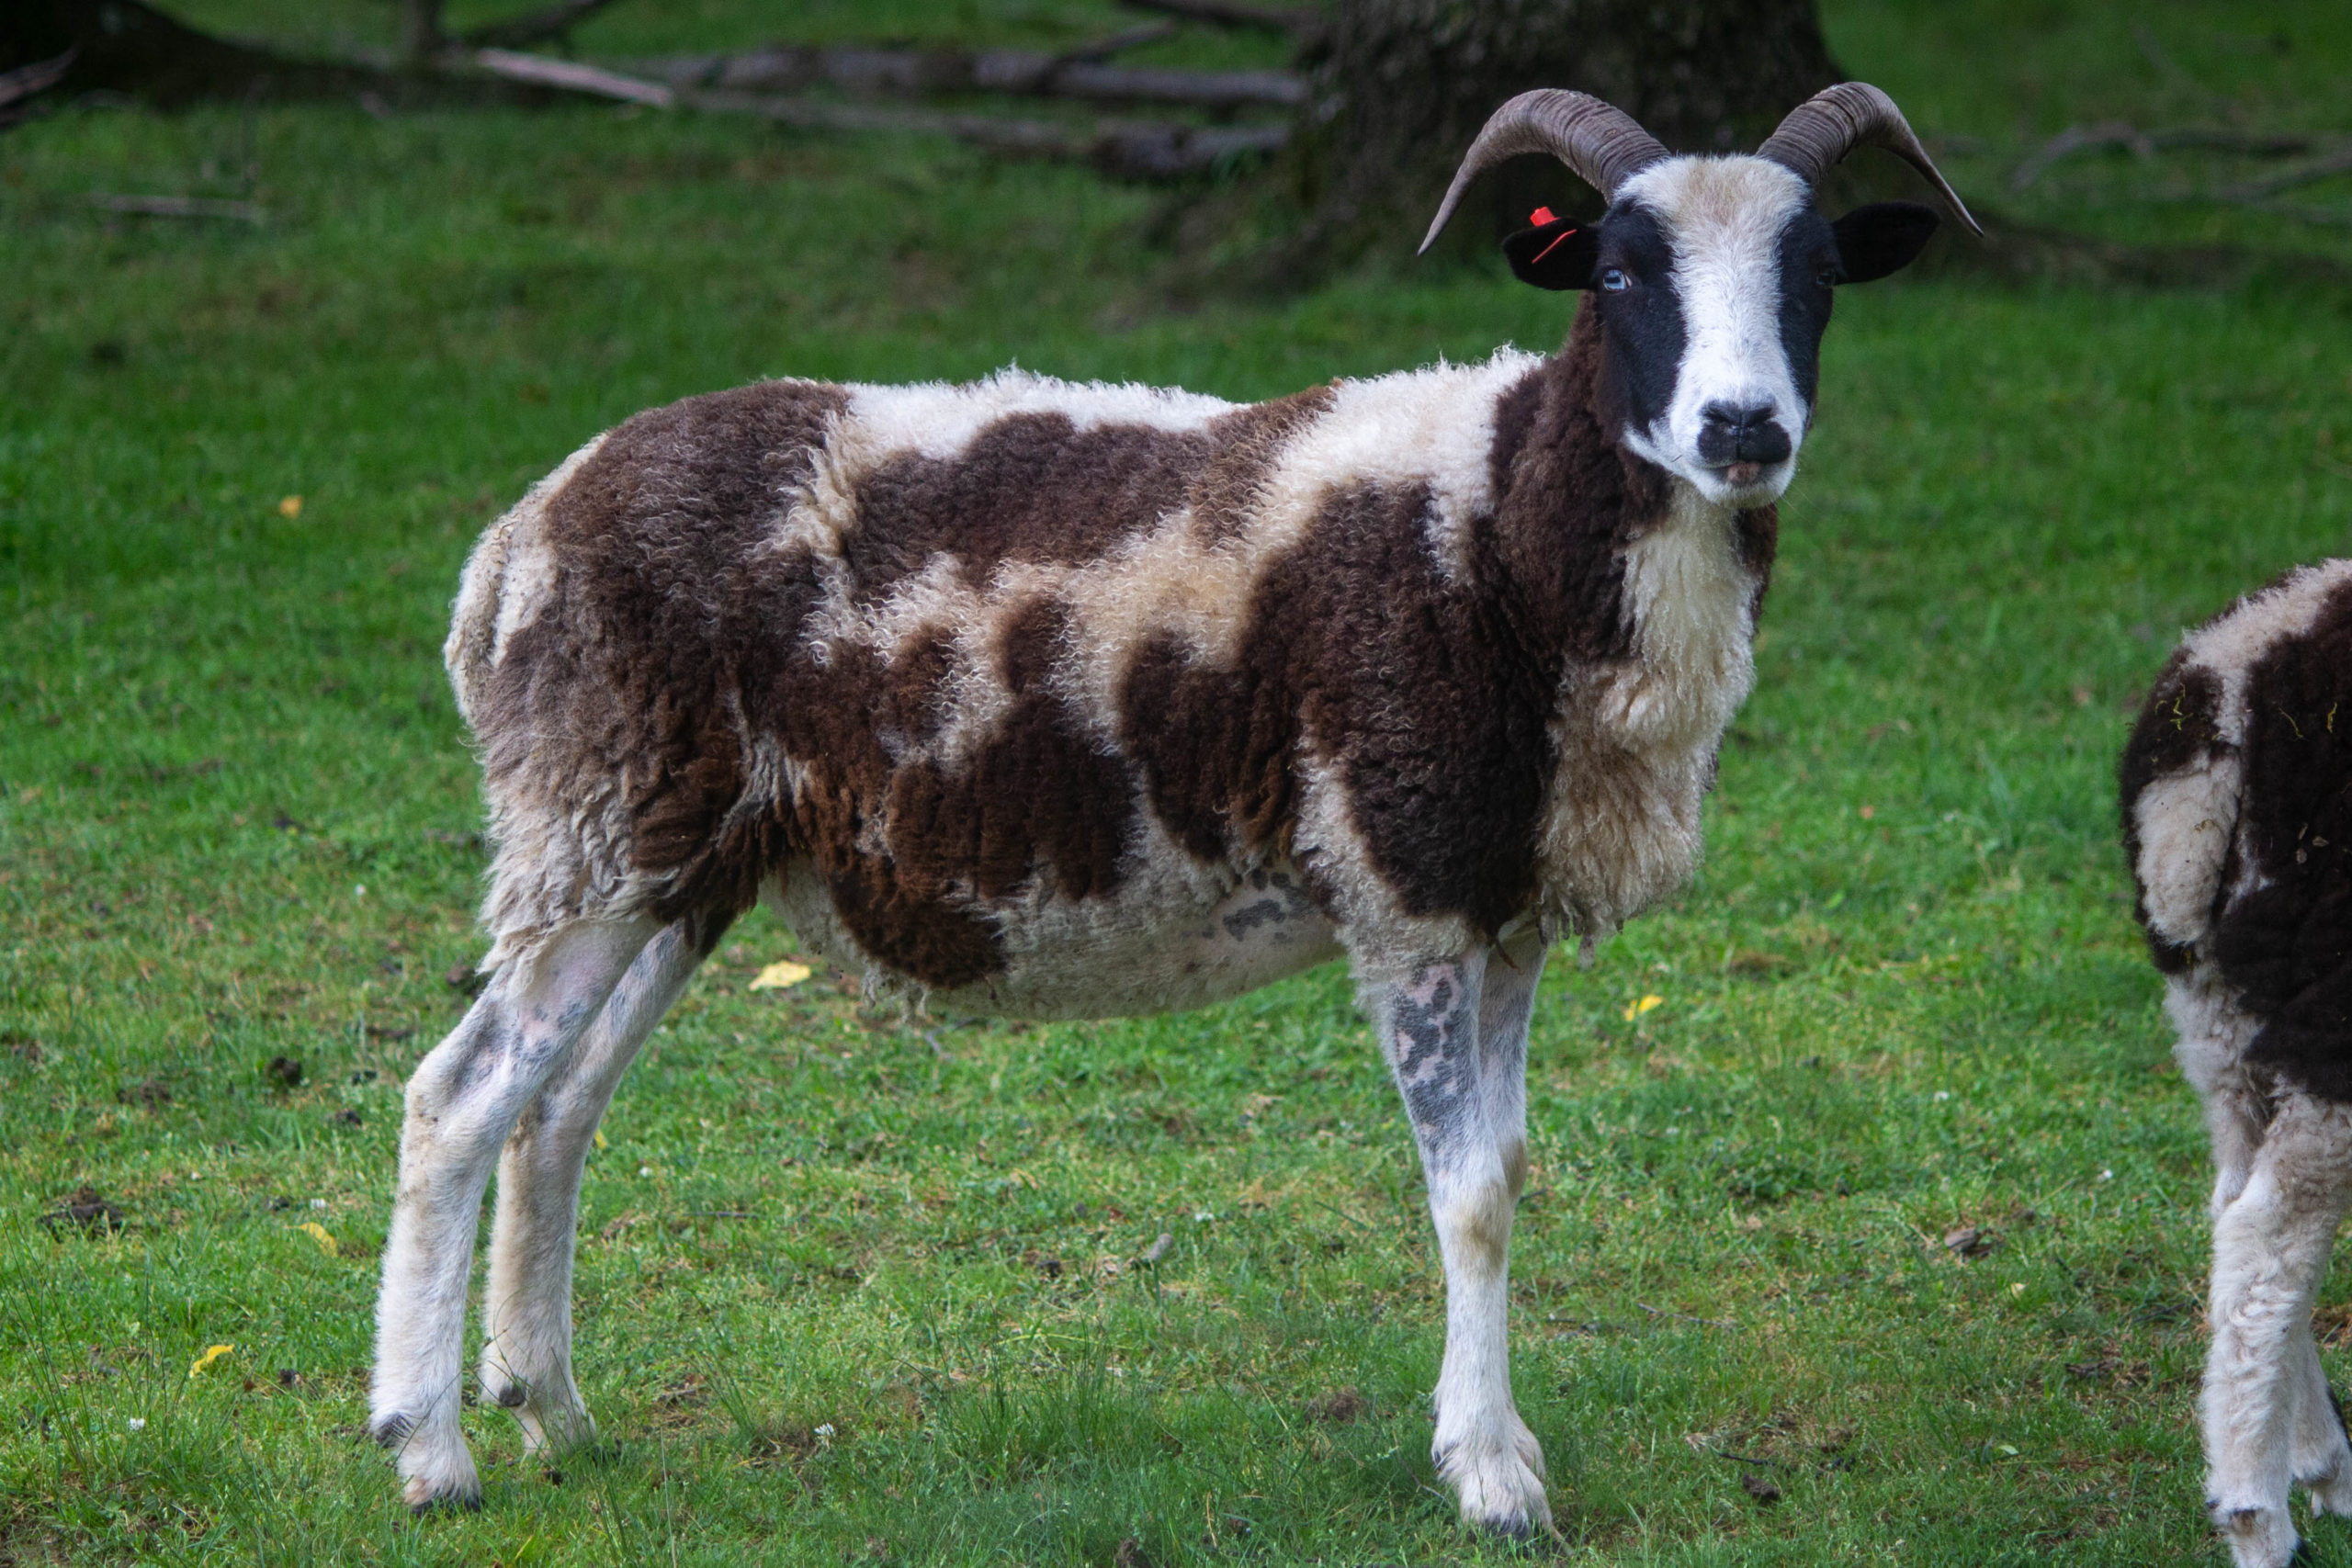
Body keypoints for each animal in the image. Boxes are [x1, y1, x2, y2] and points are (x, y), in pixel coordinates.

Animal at [370, 82, 1979, 1533]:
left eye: (1818, 275)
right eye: (1623, 272)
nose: (1742, 428)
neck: (1499, 525)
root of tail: (512, 542)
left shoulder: (1501, 901)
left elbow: (1512, 1168)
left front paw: (1500, 1441)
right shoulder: (1402, 885)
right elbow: (1468, 1194)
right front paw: (1492, 1476)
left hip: (675, 858)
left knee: (558, 1108)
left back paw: (554, 1412)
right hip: (593, 812)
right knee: (459, 1098)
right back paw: (430, 1449)